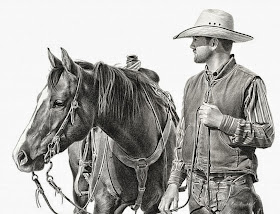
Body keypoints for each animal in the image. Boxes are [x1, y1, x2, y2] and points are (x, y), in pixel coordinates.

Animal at [12, 48, 177, 214]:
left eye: (58, 103)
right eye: (38, 98)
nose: (19, 156)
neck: (139, 149)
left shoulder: (154, 204)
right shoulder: (104, 202)